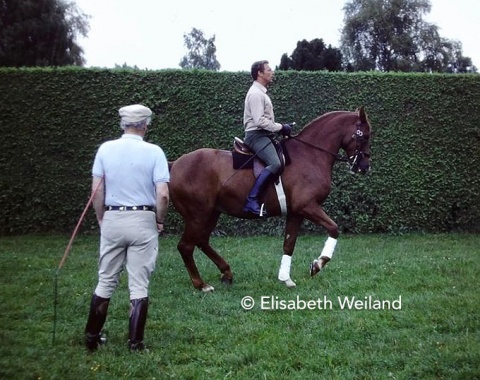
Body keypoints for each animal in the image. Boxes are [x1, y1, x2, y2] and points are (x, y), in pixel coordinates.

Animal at [169, 107, 372, 290]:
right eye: (365, 136)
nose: (364, 166)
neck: (310, 154)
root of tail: (175, 164)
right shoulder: (308, 206)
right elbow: (334, 228)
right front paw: (317, 265)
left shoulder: (296, 212)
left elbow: (289, 244)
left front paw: (285, 279)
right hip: (197, 216)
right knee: (186, 246)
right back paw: (201, 285)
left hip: (211, 213)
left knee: (202, 241)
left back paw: (226, 273)